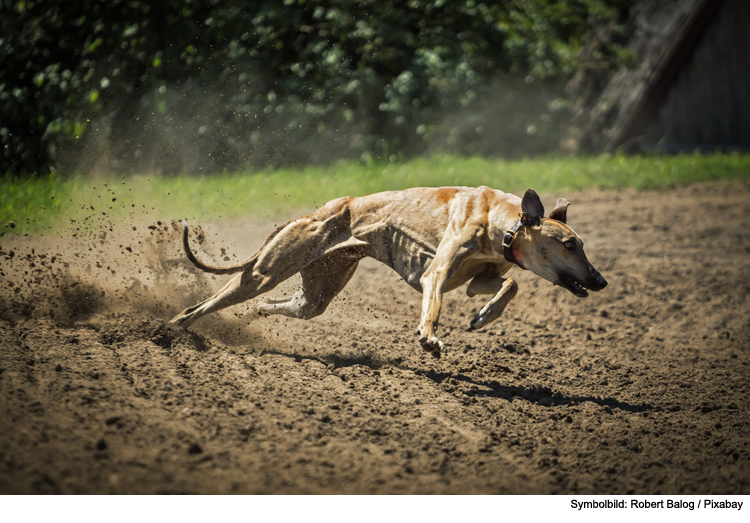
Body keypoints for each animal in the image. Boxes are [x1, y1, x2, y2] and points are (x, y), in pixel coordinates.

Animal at [169, 186, 604, 358]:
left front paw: (483, 317)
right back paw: (171, 330)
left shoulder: (478, 278)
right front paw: (429, 339)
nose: (600, 280)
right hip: (264, 273)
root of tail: (317, 212)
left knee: (280, 304)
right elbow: (433, 307)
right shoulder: (436, 276)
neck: (504, 222)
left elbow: (509, 283)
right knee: (197, 308)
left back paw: (247, 318)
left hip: (315, 293)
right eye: (570, 244)